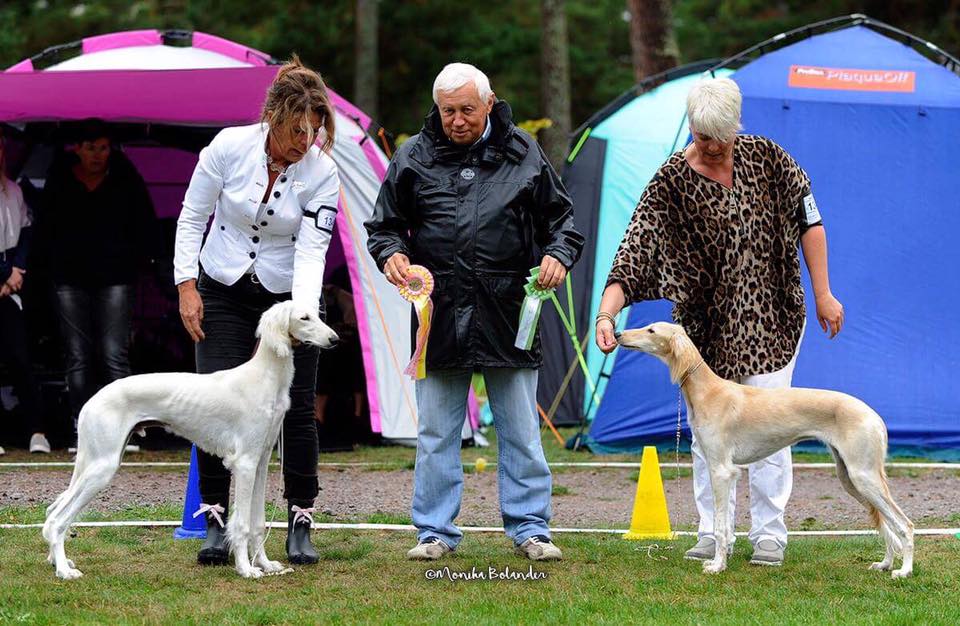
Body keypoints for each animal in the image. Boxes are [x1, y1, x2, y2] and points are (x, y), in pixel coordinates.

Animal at [43, 300, 340, 576]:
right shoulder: (244, 463)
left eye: (318, 315)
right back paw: (64, 571)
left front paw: (265, 565)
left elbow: (257, 523)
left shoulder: (261, 462)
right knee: (57, 519)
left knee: (51, 512)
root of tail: (90, 401)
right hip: (102, 466)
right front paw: (246, 569)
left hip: (95, 462)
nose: (335, 340)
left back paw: (57, 562)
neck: (264, 377)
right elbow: (242, 524)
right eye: (303, 318)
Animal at [616, 322, 916, 576]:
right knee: (887, 524)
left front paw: (717, 566)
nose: (618, 334)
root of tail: (874, 417)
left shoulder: (721, 470)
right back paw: (885, 563)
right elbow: (725, 525)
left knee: (905, 525)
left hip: (863, 476)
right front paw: (720, 559)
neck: (708, 391)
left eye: (651, 330)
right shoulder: (723, 470)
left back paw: (904, 571)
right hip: (850, 478)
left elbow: (720, 525)